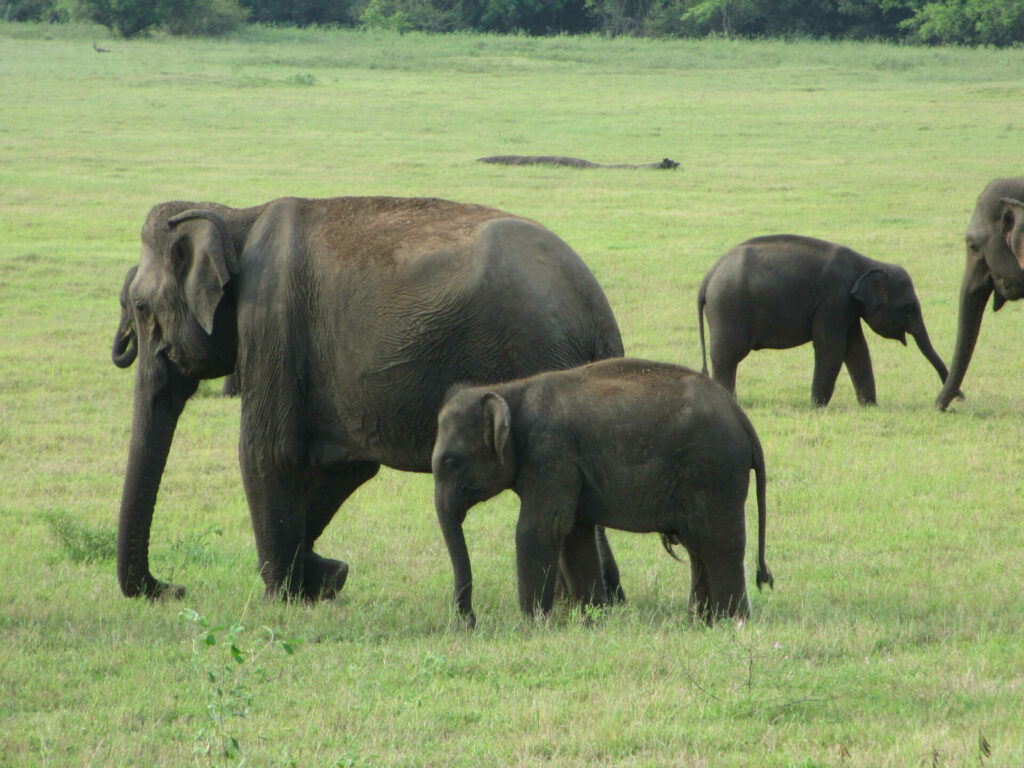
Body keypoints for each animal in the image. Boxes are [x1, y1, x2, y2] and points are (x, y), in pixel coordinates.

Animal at [112, 195, 622, 606]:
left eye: (140, 307)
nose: (175, 588)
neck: (236, 216)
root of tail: (596, 311)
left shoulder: (271, 323)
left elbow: (266, 453)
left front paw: (282, 599)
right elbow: (345, 468)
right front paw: (324, 578)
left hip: (536, 353)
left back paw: (573, 604)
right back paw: (603, 602)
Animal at [428, 360, 770, 626]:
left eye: (451, 462)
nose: (469, 621)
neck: (508, 390)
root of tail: (743, 420)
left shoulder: (550, 454)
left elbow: (537, 530)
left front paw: (531, 625)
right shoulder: (565, 467)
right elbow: (574, 535)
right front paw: (594, 621)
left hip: (714, 471)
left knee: (718, 545)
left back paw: (732, 623)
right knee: (698, 547)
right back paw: (700, 622)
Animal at [696, 234, 950, 409]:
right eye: (909, 308)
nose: (956, 397)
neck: (868, 264)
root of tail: (708, 276)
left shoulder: (847, 308)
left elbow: (856, 349)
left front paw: (870, 406)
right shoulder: (833, 300)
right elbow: (831, 348)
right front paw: (818, 407)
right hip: (728, 307)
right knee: (728, 356)